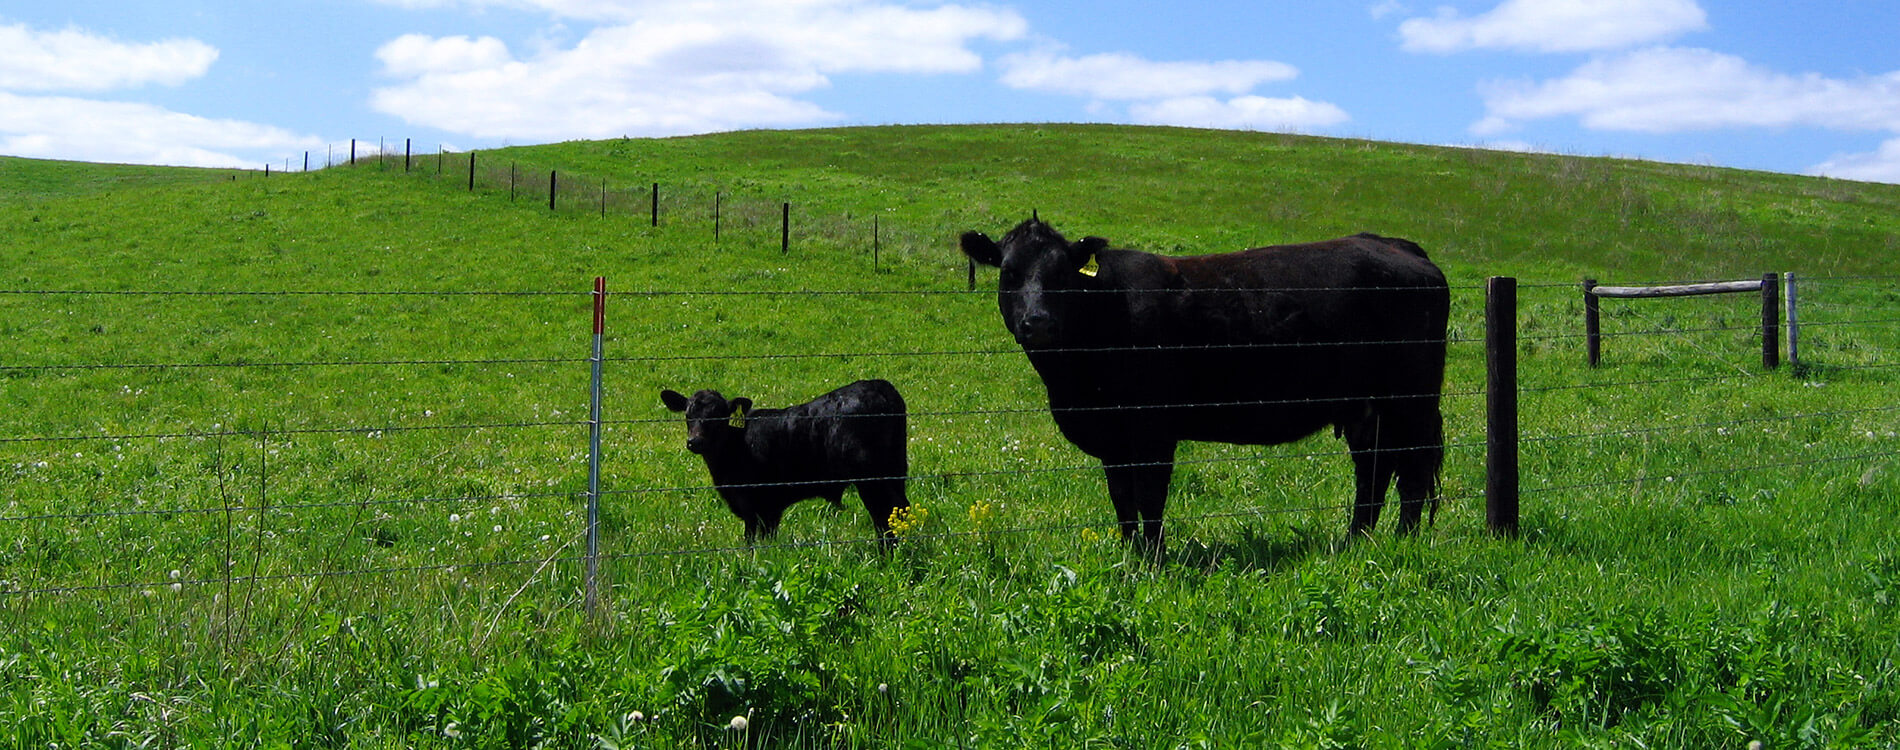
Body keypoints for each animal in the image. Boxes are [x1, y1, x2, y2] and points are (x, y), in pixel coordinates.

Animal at [661, 379, 912, 543]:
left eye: (719, 415)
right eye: (687, 415)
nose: (695, 441)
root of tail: (880, 387)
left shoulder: (759, 507)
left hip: (871, 479)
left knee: (883, 516)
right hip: (896, 469)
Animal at [965, 220, 1451, 554]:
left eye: (1062, 274)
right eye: (1008, 273)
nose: (1039, 322)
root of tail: (1392, 244)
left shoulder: (1152, 430)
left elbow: (1149, 496)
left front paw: (1154, 559)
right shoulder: (1113, 438)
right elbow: (1122, 499)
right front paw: (1128, 555)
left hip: (1411, 402)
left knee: (1410, 474)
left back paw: (1401, 543)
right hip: (1366, 408)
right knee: (1374, 472)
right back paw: (1354, 542)